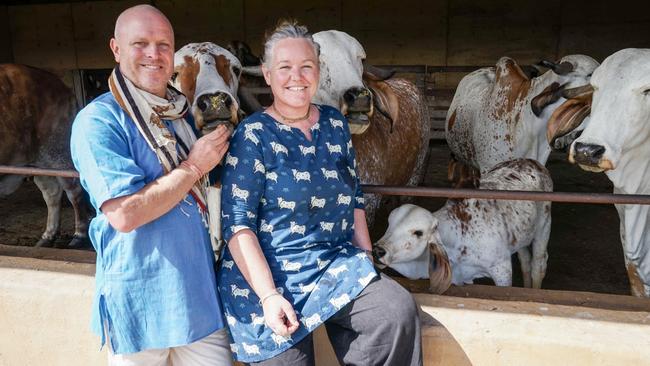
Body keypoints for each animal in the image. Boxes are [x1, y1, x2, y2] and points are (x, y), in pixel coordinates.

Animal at [372, 159, 548, 294]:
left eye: (418, 232)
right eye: (389, 223)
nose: (378, 250)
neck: (459, 237)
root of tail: (533, 162)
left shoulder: (502, 270)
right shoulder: (460, 278)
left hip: (543, 228)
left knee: (538, 264)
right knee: (525, 260)